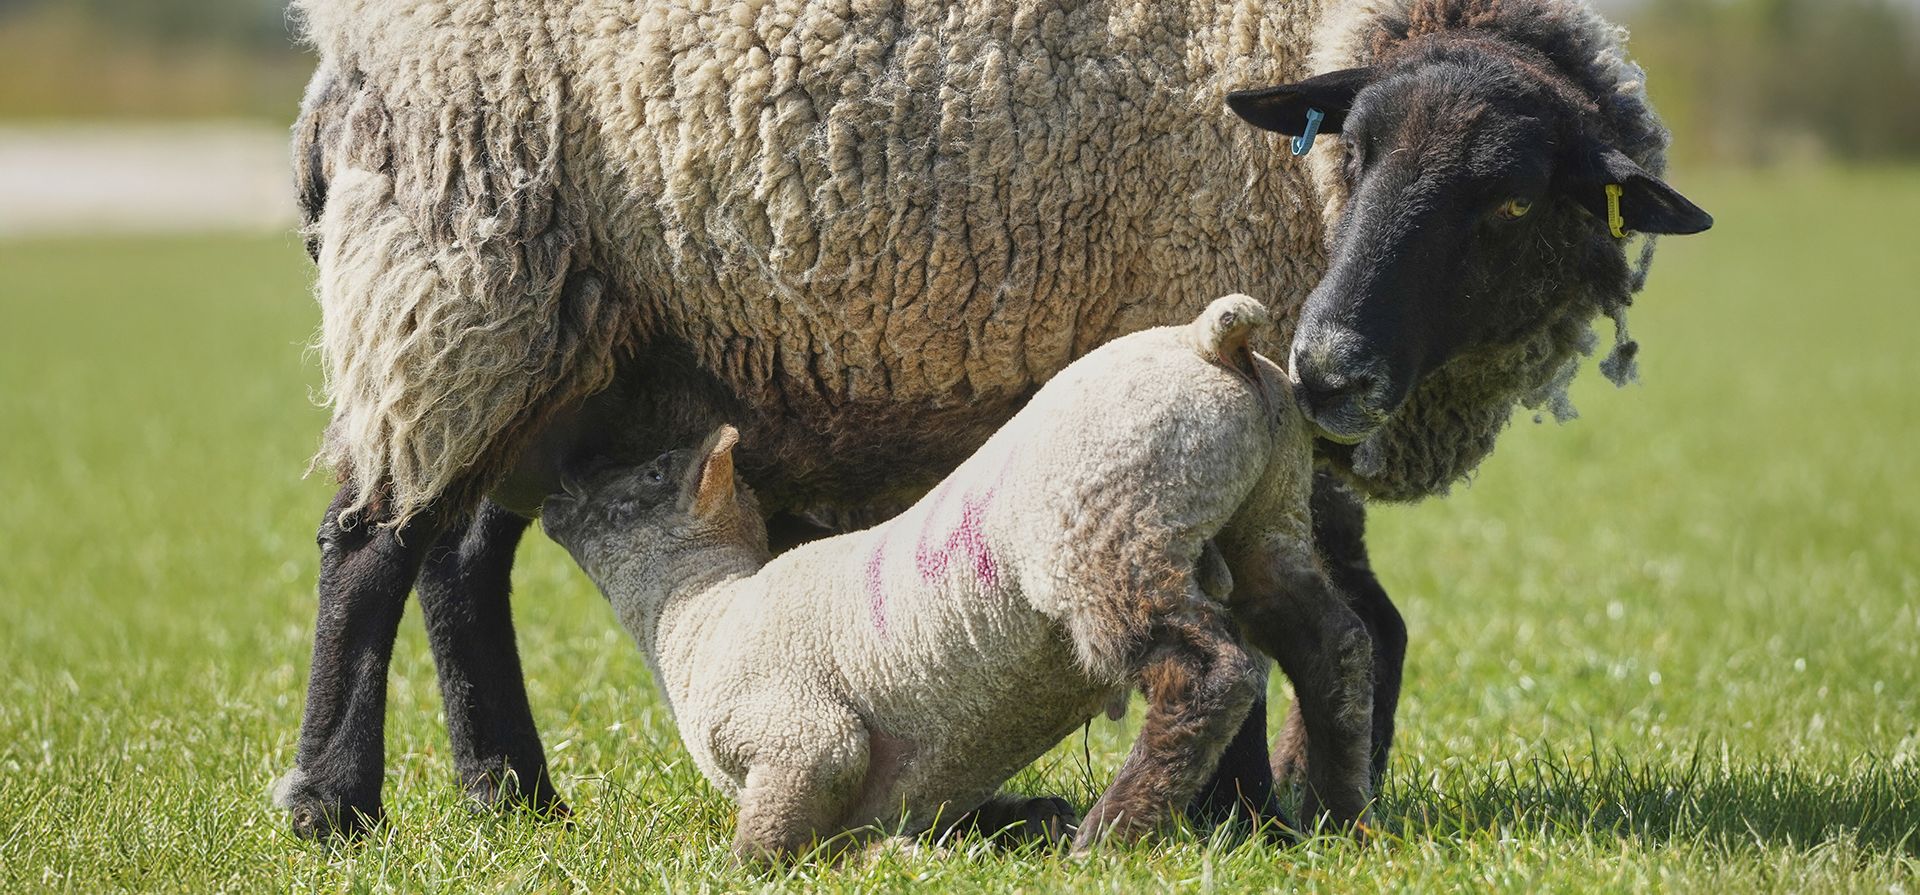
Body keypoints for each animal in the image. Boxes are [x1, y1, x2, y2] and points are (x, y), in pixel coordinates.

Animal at [541, 296, 1373, 858]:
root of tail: (1209, 341)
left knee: (1208, 673)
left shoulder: (800, 737)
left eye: (650, 474)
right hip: (1265, 516)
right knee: (1333, 645)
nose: (554, 495)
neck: (699, 616)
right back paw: (1338, 817)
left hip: (1107, 532)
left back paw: (1108, 838)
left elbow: (777, 835)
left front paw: (743, 868)